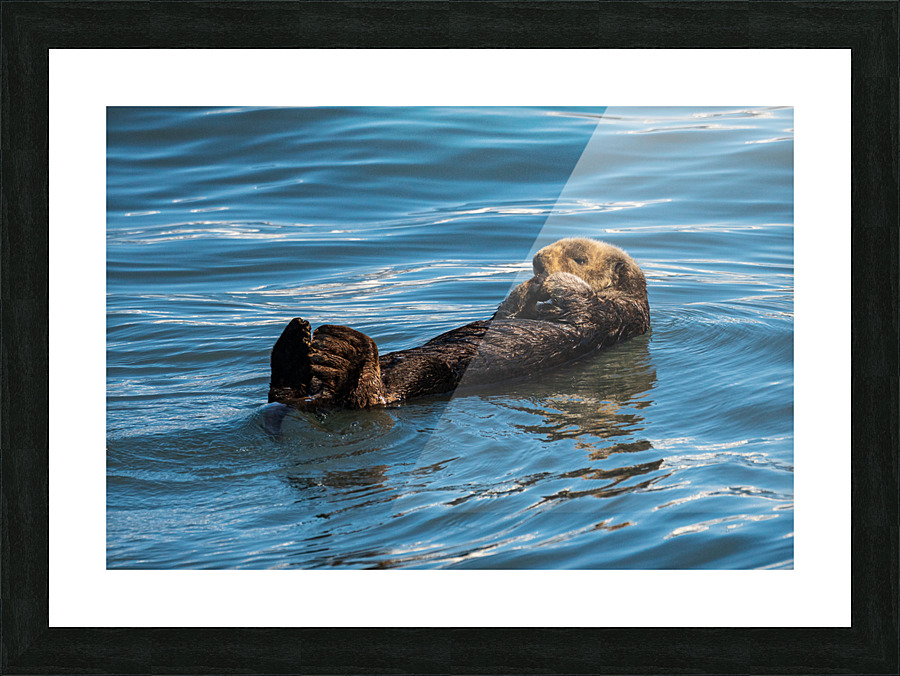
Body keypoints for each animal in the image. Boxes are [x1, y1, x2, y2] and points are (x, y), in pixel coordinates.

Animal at [268, 238, 650, 410]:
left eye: (581, 258)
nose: (538, 261)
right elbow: (506, 313)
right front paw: (526, 287)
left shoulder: (616, 314)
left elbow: (582, 302)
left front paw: (549, 281)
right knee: (286, 393)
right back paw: (296, 346)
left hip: (429, 372)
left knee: (371, 397)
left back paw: (345, 355)